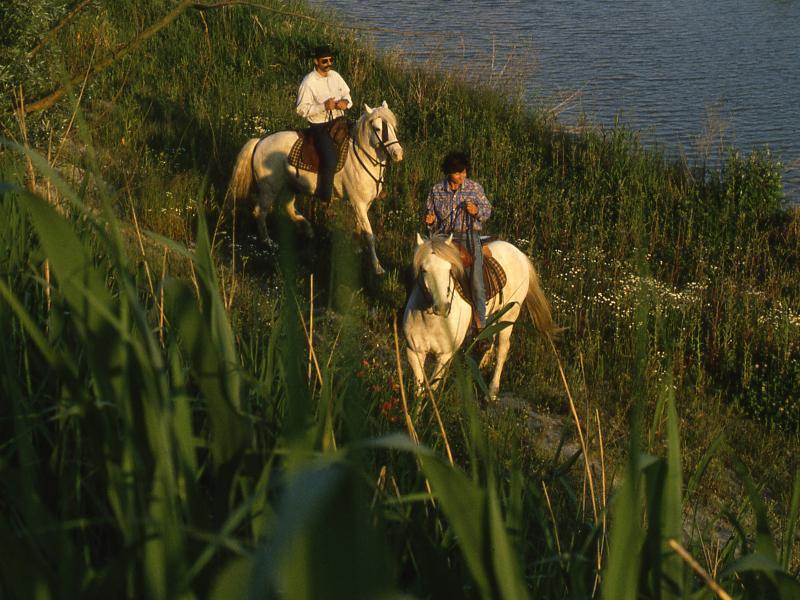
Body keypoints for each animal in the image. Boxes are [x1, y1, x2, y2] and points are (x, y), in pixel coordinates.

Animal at [227, 101, 404, 274]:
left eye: (393, 127)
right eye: (378, 128)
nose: (398, 154)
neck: (362, 157)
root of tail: (259, 142)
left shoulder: (365, 204)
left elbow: (360, 228)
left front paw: (357, 249)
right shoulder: (358, 203)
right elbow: (369, 235)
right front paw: (378, 267)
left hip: (291, 186)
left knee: (287, 208)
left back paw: (307, 229)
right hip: (269, 189)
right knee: (260, 212)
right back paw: (269, 242)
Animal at [404, 233, 560, 398]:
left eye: (449, 269)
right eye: (423, 270)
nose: (442, 307)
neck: (431, 321)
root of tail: (520, 254)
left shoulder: (445, 356)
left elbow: (433, 387)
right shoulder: (413, 351)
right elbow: (419, 389)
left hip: (509, 315)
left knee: (502, 348)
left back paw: (492, 391)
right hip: (491, 315)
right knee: (491, 336)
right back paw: (484, 364)